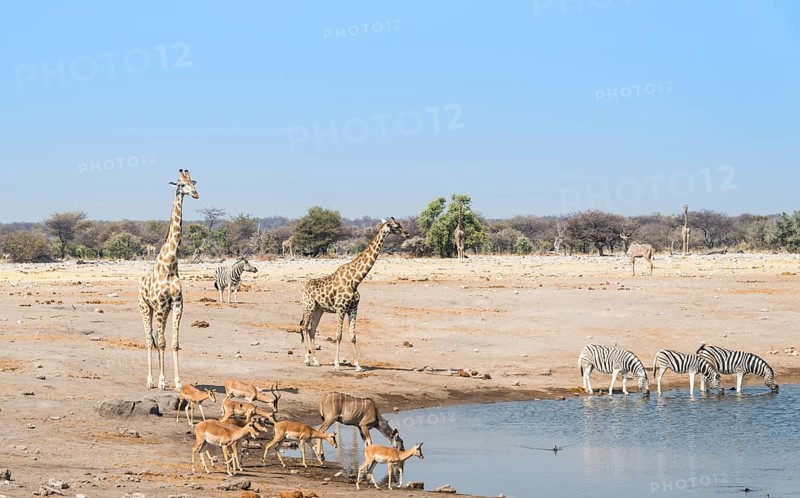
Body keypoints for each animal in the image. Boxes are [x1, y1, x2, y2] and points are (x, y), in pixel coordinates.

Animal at [138, 169, 199, 391]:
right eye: (181, 184)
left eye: (193, 182)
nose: (196, 194)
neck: (170, 264)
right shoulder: (160, 305)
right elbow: (162, 342)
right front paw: (162, 382)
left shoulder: (177, 304)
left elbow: (173, 343)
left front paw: (178, 382)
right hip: (146, 308)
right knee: (149, 340)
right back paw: (150, 381)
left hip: (161, 311)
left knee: (158, 338)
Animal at [300, 218, 408, 371]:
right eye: (396, 226)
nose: (407, 234)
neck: (355, 280)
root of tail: (304, 287)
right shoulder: (340, 308)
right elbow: (338, 335)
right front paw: (337, 364)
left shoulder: (353, 308)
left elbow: (353, 336)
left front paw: (358, 365)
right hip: (308, 306)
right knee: (304, 326)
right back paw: (307, 359)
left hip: (318, 309)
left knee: (312, 329)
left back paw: (316, 360)